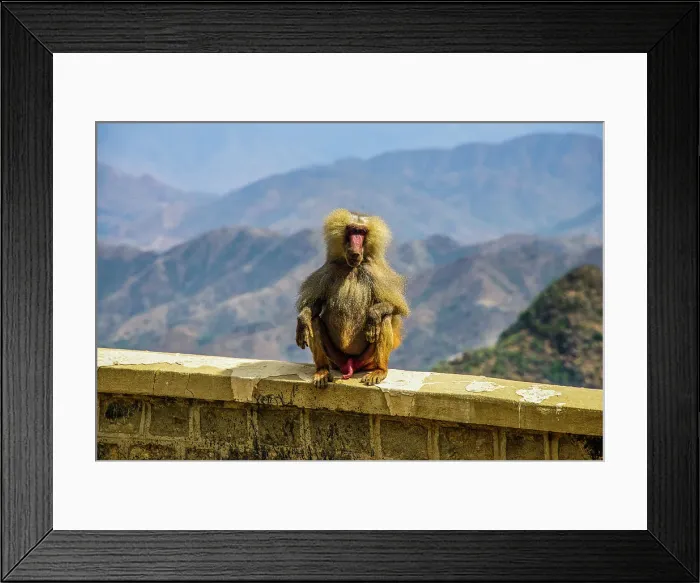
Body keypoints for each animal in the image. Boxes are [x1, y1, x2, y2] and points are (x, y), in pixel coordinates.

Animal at [295, 208, 410, 388]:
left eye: (361, 232)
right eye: (351, 230)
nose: (355, 250)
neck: (353, 267)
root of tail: (349, 365)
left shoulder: (375, 272)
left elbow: (395, 306)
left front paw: (373, 315)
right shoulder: (329, 270)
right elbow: (316, 305)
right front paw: (302, 320)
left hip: (367, 359)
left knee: (385, 318)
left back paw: (380, 370)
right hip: (336, 359)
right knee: (314, 321)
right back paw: (322, 371)